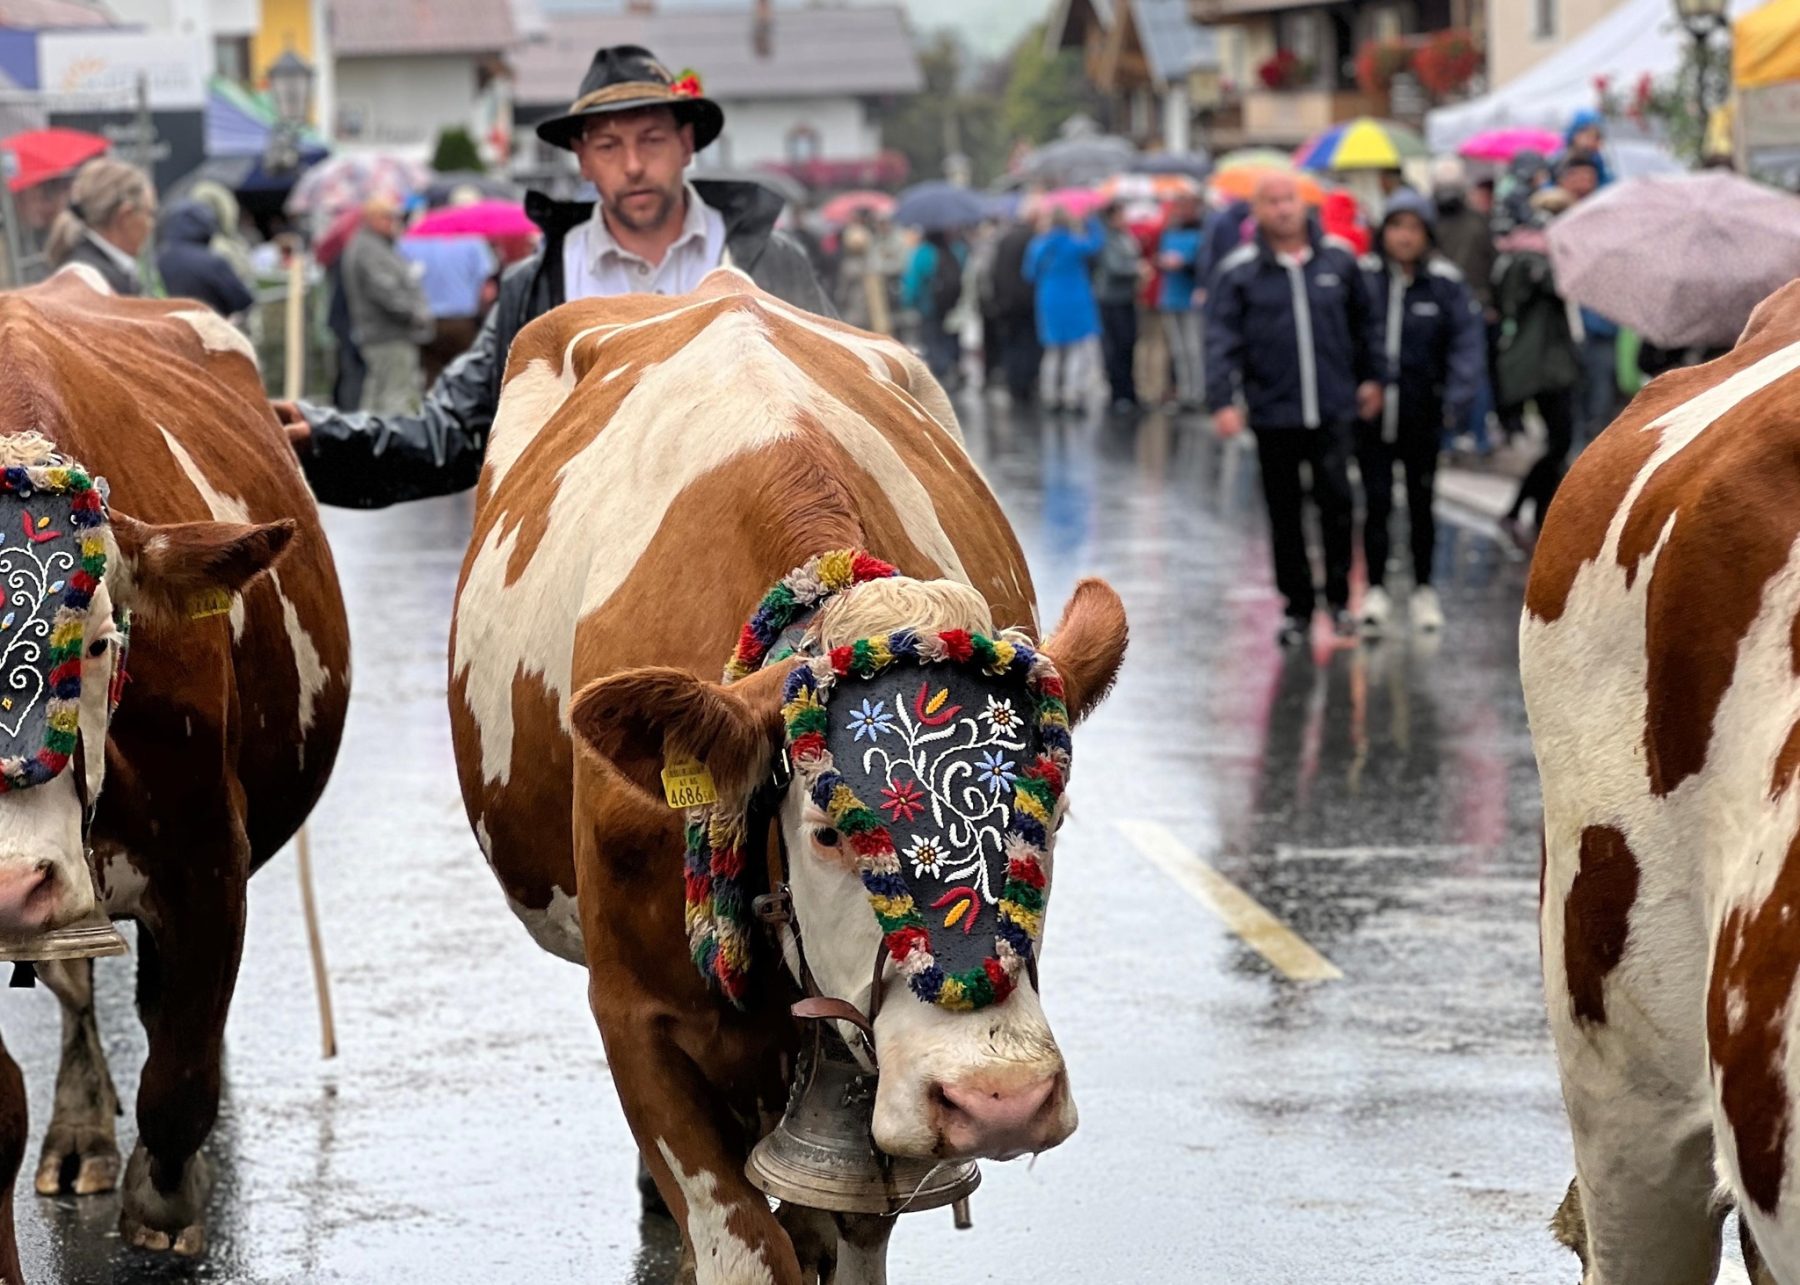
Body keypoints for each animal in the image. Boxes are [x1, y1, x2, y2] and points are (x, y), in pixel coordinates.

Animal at [0, 269, 352, 1259]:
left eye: (100, 642)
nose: (10, 884)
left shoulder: (209, 857)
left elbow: (180, 1076)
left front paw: (164, 1203)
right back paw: (81, 1129)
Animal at [450, 268, 1123, 1274]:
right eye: (833, 829)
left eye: (1051, 816)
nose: (998, 1098)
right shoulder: (633, 1017)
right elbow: (744, 1248)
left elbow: (845, 1235)